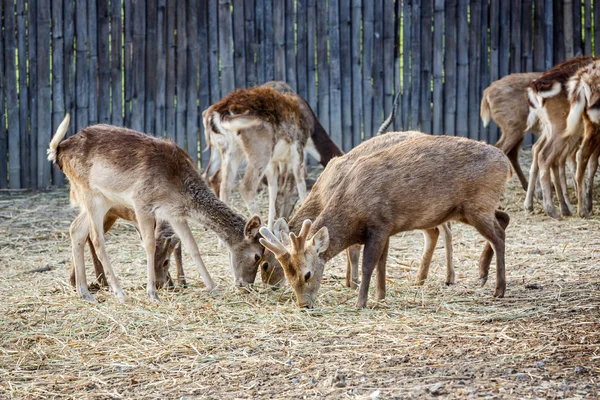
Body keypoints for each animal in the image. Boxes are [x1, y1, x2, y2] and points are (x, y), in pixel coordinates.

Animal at [47, 115, 262, 304]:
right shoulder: (142, 202)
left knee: (76, 229)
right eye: (257, 255)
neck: (177, 186)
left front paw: (214, 288)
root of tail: (59, 150)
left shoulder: (174, 214)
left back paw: (85, 293)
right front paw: (152, 293)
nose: (246, 285)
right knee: (97, 239)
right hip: (90, 193)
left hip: (103, 199)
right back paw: (119, 293)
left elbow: (192, 246)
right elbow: (149, 245)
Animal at [258, 134, 510, 310]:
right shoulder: (387, 228)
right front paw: (380, 296)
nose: (304, 305)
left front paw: (360, 301)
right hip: (471, 209)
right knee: (503, 218)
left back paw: (498, 289)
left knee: (498, 235)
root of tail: (505, 162)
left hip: (477, 204)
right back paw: (480, 275)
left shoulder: (379, 224)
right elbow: (381, 263)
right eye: (289, 276)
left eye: (307, 274)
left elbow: (368, 263)